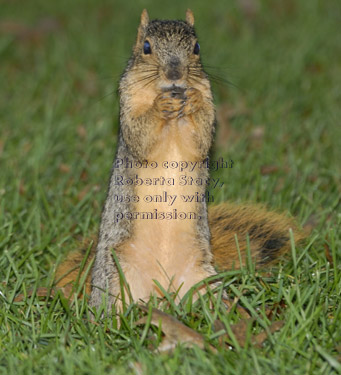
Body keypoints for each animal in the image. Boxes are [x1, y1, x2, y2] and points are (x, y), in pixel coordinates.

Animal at [54, 10, 304, 312]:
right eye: (146, 47)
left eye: (196, 47)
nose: (175, 74)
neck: (173, 115)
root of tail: (161, 291)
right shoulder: (128, 99)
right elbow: (140, 135)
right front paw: (158, 107)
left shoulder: (206, 98)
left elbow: (200, 140)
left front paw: (192, 101)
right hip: (115, 277)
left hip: (202, 278)